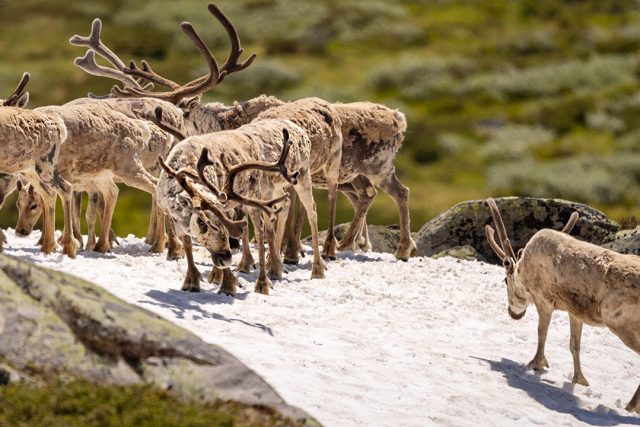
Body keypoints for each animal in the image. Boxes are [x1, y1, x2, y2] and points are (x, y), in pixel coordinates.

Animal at [0, 72, 77, 257]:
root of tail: (60, 127)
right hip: (30, 169)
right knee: (48, 193)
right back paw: (48, 246)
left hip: (45, 165)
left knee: (65, 188)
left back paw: (68, 247)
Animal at [485, 197, 640, 413]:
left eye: (505, 281)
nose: (513, 313)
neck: (525, 272)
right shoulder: (575, 312)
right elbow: (575, 344)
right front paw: (579, 380)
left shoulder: (544, 301)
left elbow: (542, 333)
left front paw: (536, 363)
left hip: (622, 325)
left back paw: (630, 406)